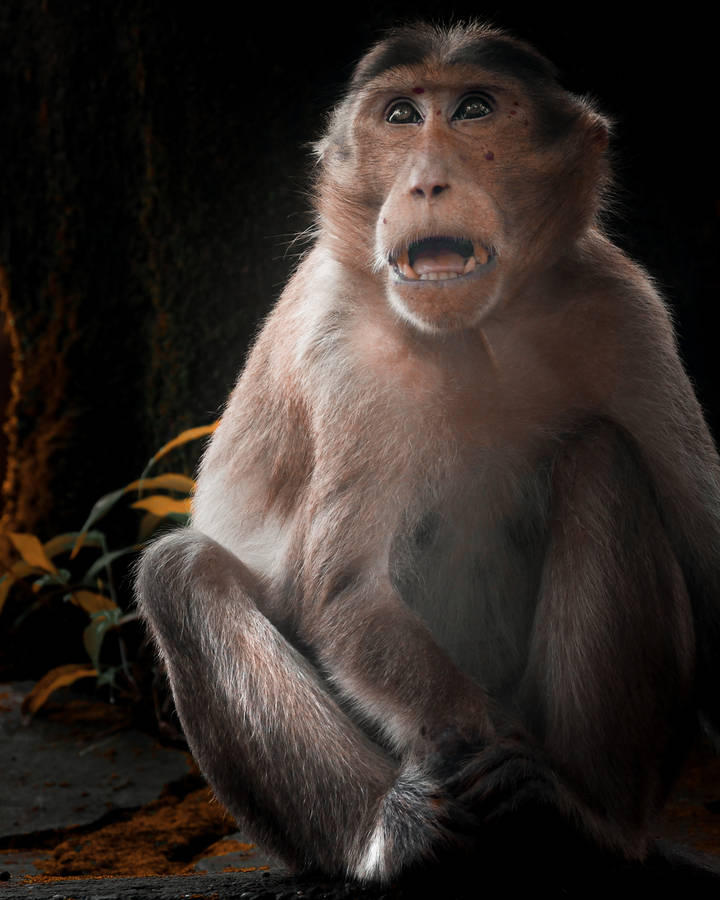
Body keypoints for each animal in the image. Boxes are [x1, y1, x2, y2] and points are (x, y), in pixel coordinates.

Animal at [136, 21, 720, 890]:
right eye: (402, 115)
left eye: (474, 109)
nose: (426, 184)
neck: (475, 331)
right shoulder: (341, 345)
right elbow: (346, 591)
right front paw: (465, 756)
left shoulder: (622, 310)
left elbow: (710, 560)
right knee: (178, 574)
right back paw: (391, 832)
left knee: (601, 461)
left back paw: (586, 820)